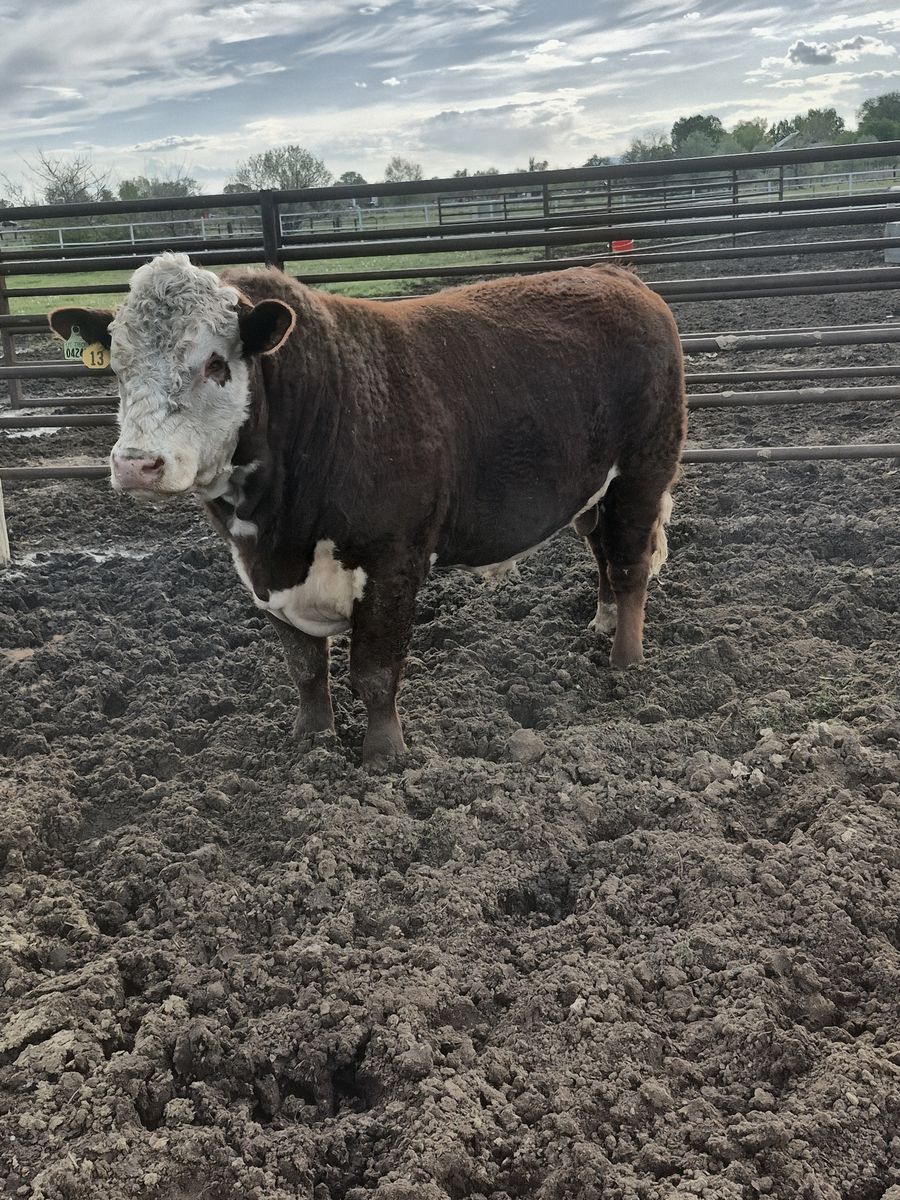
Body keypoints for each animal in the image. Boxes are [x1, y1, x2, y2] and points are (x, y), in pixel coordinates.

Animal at [49, 252, 687, 764]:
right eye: (117, 366)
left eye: (214, 363)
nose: (136, 464)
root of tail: (616, 275)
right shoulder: (263, 576)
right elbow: (306, 668)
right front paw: (310, 741)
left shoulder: (393, 561)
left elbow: (376, 673)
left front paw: (385, 755)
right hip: (593, 492)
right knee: (602, 551)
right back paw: (600, 622)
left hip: (644, 471)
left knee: (630, 564)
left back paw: (626, 661)